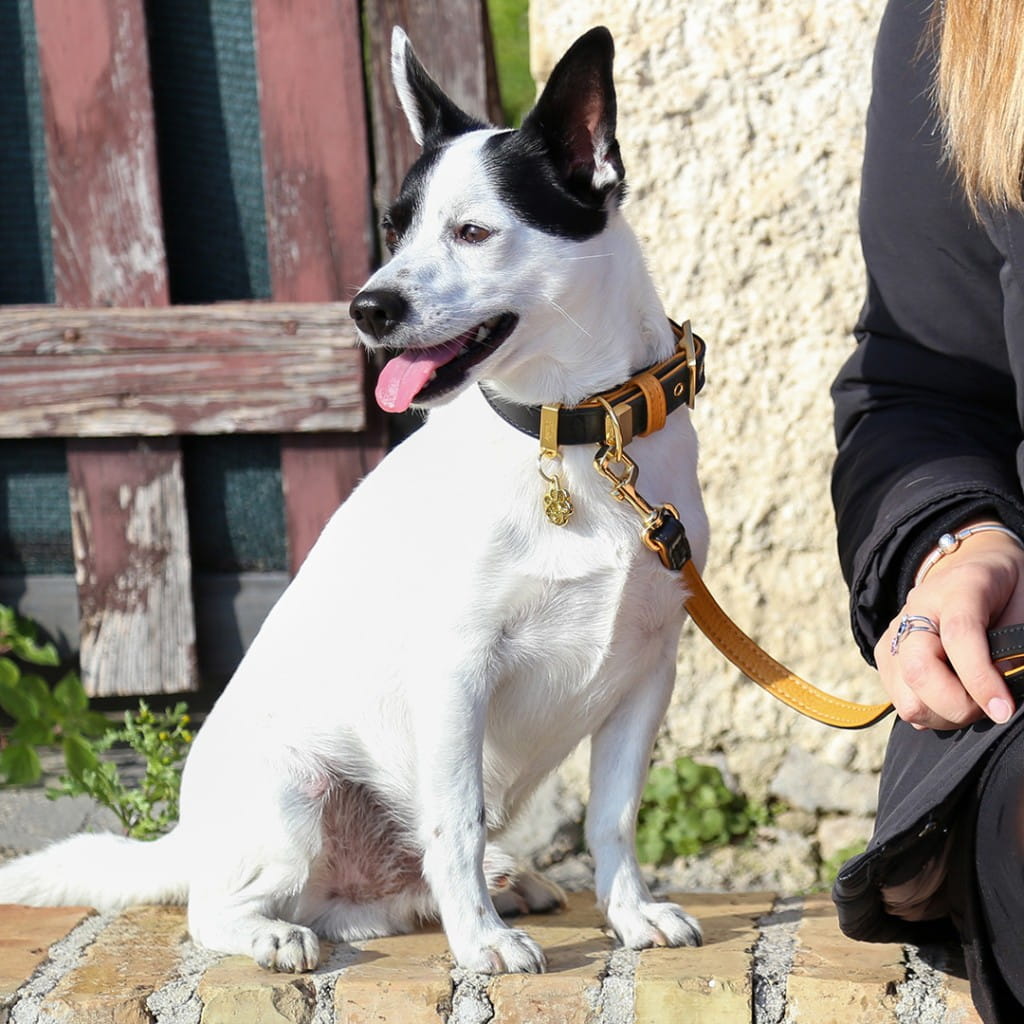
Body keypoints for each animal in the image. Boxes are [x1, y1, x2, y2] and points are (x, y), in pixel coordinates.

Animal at [0, 25, 709, 975]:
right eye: (392, 227)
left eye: (474, 232)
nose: (367, 307)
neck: (567, 436)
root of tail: (189, 839)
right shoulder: (457, 671)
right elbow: (457, 824)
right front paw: (483, 942)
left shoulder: (645, 675)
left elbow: (613, 818)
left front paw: (630, 913)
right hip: (295, 796)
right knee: (216, 911)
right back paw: (278, 933)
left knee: (391, 891)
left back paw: (495, 882)